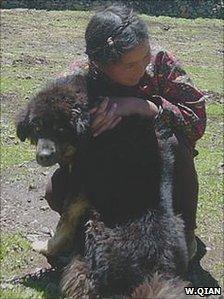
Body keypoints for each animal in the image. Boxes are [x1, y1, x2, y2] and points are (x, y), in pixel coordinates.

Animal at [15, 71, 188, 298]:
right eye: (37, 127)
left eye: (60, 129)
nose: (43, 156)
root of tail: (154, 269)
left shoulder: (81, 181)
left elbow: (64, 223)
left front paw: (45, 246)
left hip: (94, 232)